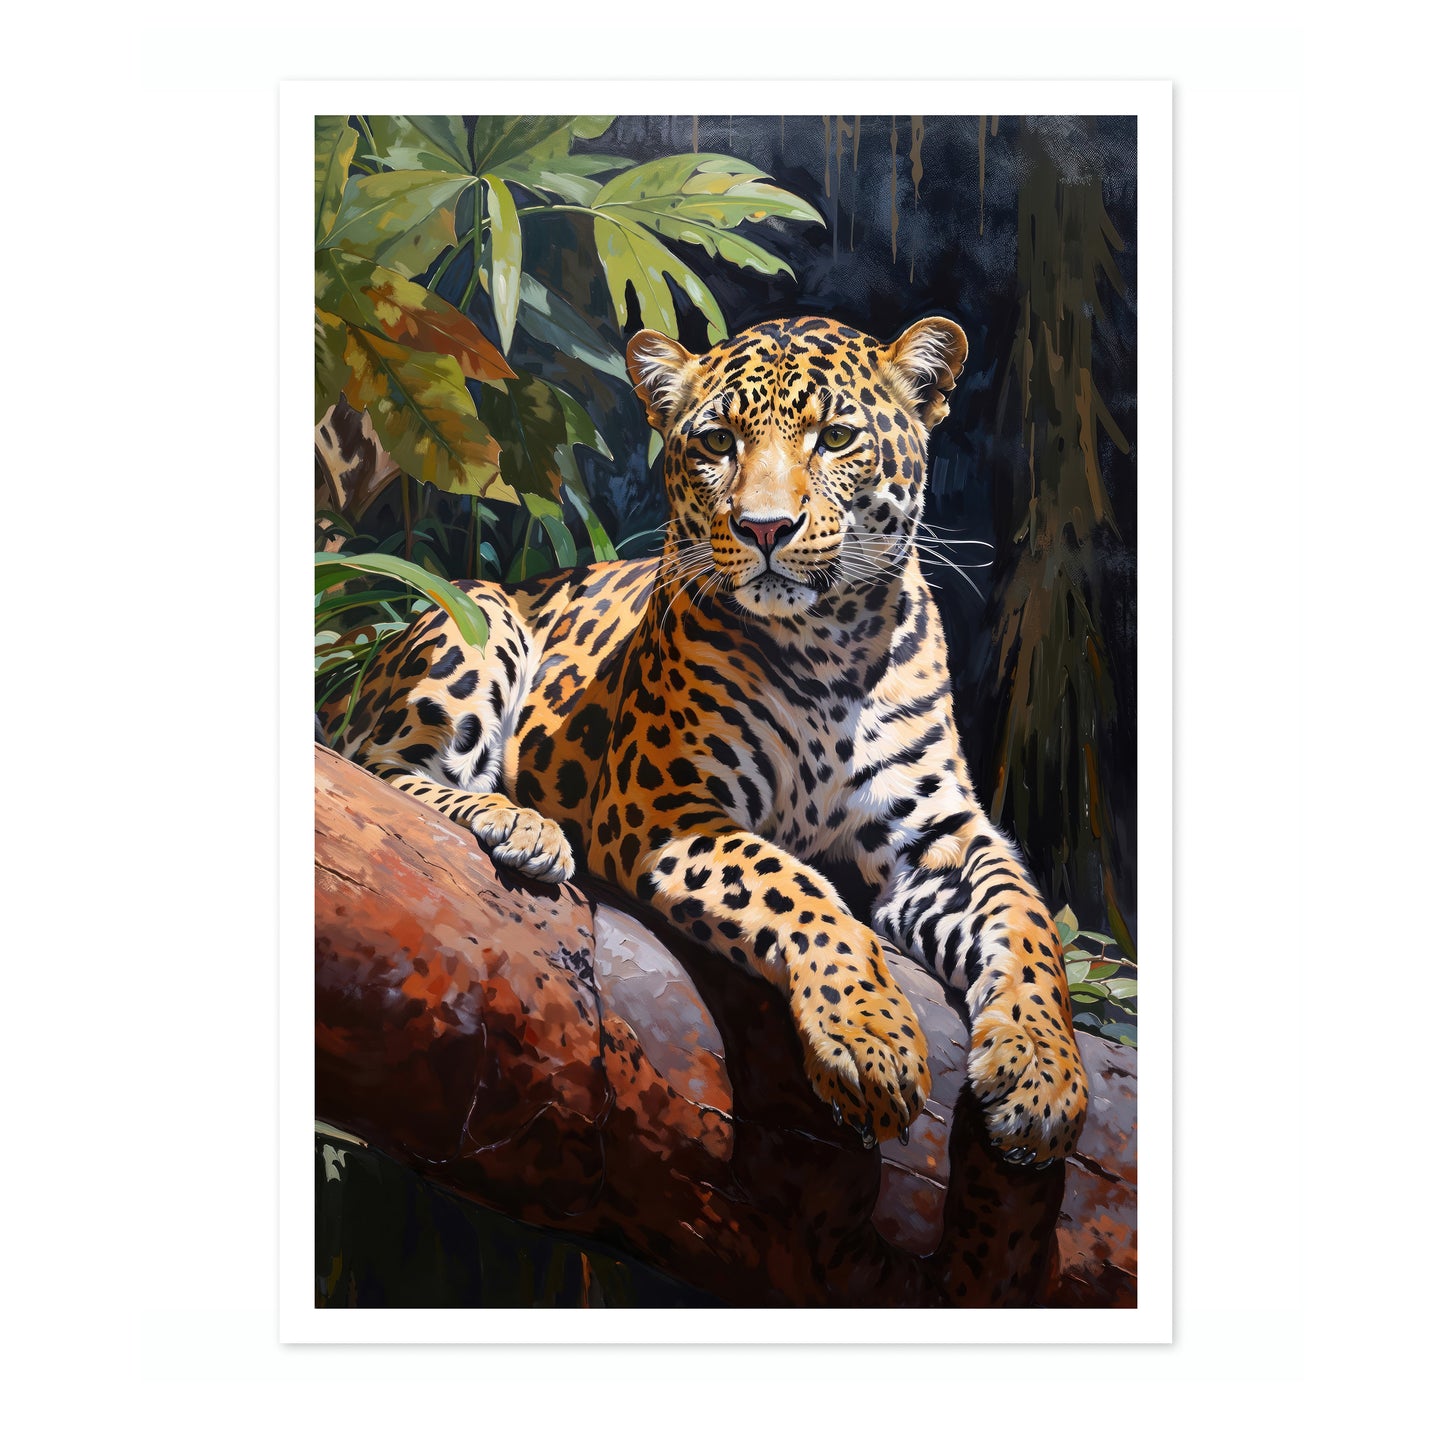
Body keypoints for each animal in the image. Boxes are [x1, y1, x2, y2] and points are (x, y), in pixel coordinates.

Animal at [319, 314, 1088, 1165]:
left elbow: (1025, 921)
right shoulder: (662, 806)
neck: (830, 646)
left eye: (836, 437)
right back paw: (518, 823)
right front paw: (867, 1036)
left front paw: (1042, 1075)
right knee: (376, 767)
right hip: (480, 612)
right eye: (717, 441)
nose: (764, 527)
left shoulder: (939, 836)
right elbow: (796, 885)